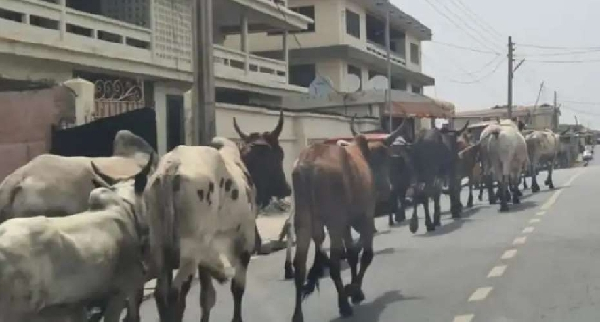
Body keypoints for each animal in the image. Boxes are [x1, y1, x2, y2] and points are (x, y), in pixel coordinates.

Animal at [136, 138, 255, 322]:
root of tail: (173, 165)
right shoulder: (246, 242)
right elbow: (238, 288)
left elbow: (207, 297)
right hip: (189, 252)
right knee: (176, 294)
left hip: (160, 248)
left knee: (161, 294)